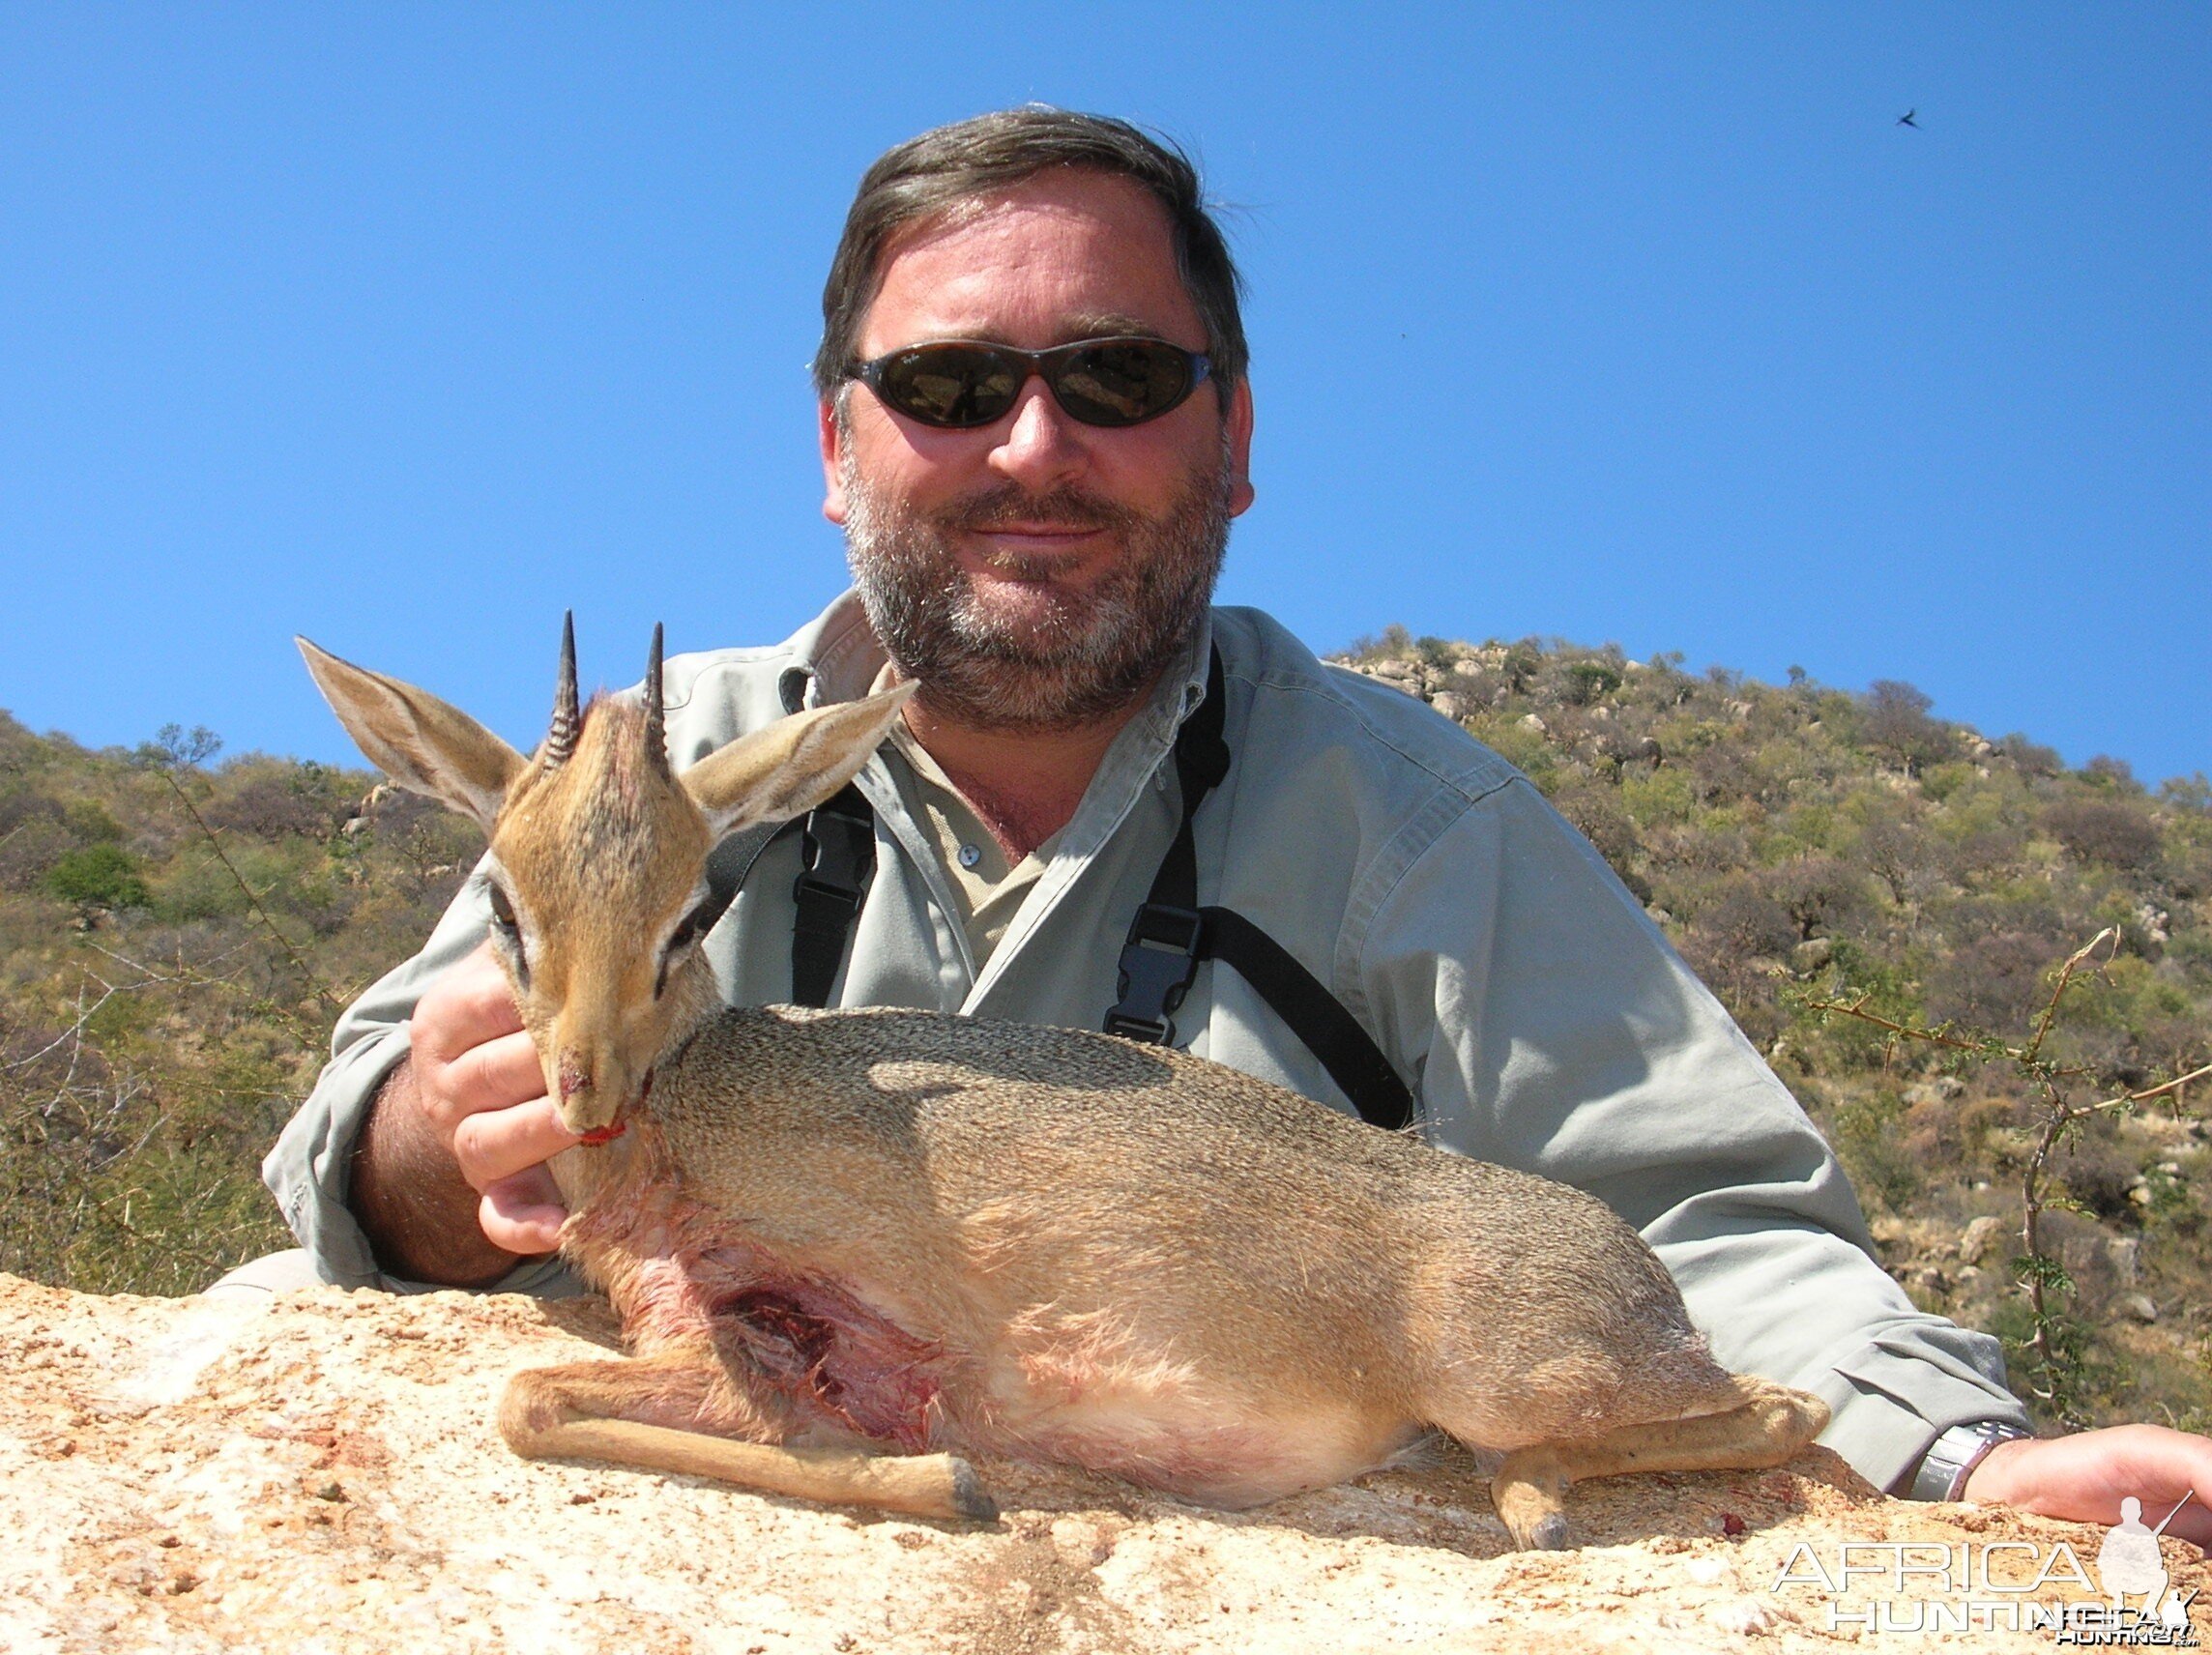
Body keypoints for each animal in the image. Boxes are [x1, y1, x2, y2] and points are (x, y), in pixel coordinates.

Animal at [303, 624, 1822, 1549]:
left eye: (691, 914)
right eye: (502, 905)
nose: (578, 1084)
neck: (689, 1095)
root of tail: (1643, 1277)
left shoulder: (732, 1332)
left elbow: (537, 1400)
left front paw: (950, 1480)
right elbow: (549, 1400)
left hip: (1514, 1377)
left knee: (1786, 1411)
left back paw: (1534, 1499)